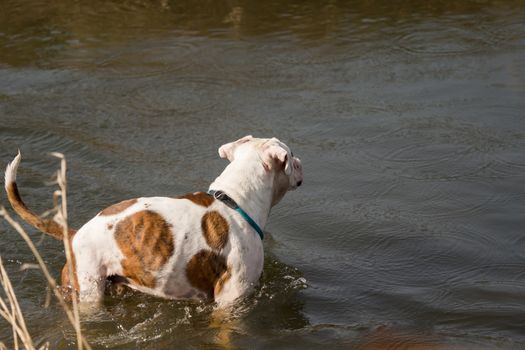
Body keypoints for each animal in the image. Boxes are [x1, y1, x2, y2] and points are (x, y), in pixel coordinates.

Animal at [3, 136, 302, 306]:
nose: (300, 161)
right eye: (291, 154)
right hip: (90, 290)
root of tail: (75, 233)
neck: (236, 200)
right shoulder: (231, 301)